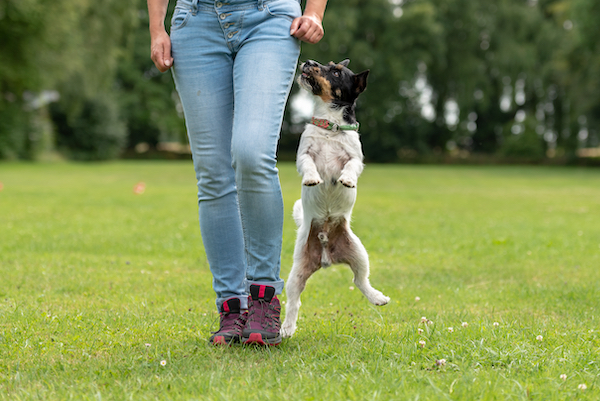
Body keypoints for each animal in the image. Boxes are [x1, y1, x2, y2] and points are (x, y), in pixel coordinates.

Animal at [280, 59, 390, 338]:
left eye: (337, 71)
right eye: (328, 65)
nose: (309, 62)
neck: (330, 125)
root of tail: (326, 257)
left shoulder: (356, 158)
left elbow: (350, 166)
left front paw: (347, 180)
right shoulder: (304, 155)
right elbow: (308, 165)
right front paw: (312, 179)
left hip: (359, 254)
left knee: (360, 280)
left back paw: (377, 297)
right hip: (297, 272)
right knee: (294, 302)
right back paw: (287, 328)